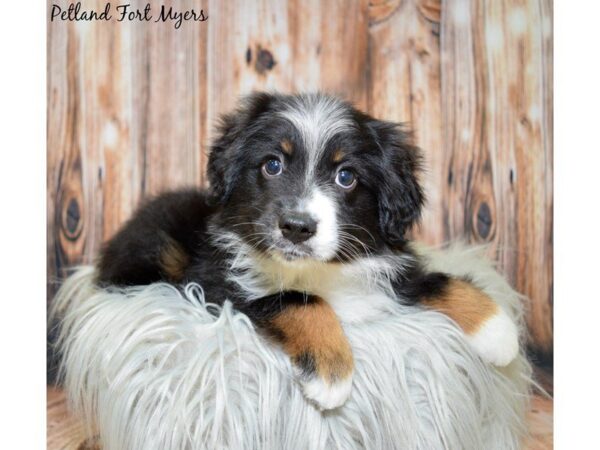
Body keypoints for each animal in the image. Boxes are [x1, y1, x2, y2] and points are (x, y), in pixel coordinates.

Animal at [96, 93, 516, 410]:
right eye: (272, 165)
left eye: (346, 176)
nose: (297, 227)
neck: (319, 270)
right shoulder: (214, 283)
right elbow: (301, 300)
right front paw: (332, 371)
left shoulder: (389, 267)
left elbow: (435, 280)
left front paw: (498, 330)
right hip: (157, 249)